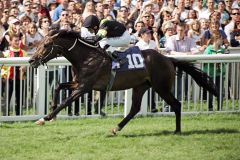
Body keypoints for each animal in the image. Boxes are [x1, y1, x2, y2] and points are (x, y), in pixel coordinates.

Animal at [28, 30, 218, 135]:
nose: (31, 60)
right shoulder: (79, 84)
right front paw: (51, 111)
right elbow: (58, 86)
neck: (86, 58)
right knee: (134, 109)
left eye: (46, 45)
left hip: (161, 87)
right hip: (141, 87)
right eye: (39, 43)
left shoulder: (84, 87)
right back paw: (116, 128)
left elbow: (66, 101)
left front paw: (45, 117)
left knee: (177, 104)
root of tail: (168, 59)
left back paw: (177, 130)